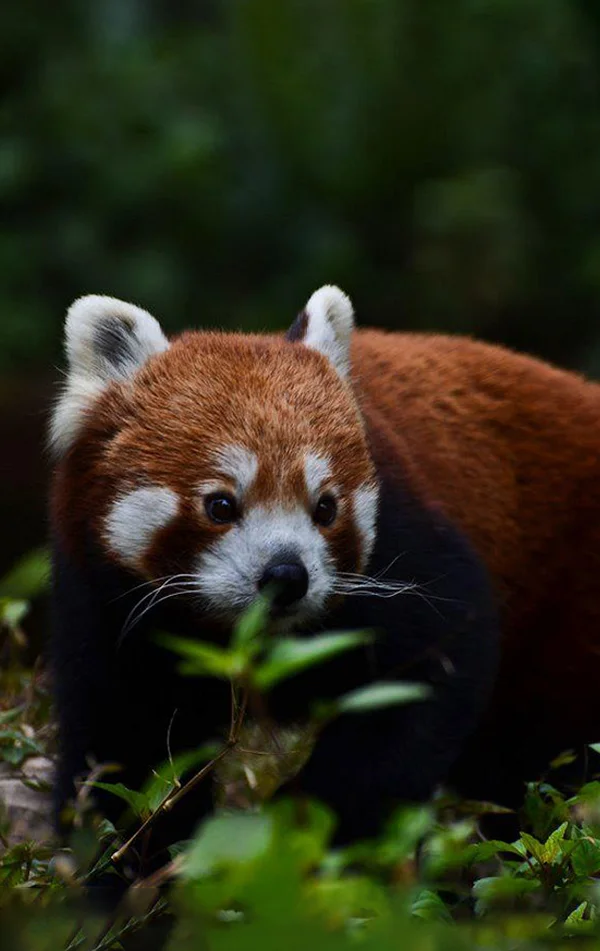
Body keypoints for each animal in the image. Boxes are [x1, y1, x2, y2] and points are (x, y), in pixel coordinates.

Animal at [49, 286, 600, 852]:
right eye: (221, 505)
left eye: (325, 507)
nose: (286, 576)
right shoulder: (105, 605)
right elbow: (124, 749)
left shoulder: (411, 545)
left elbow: (423, 684)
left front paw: (312, 829)